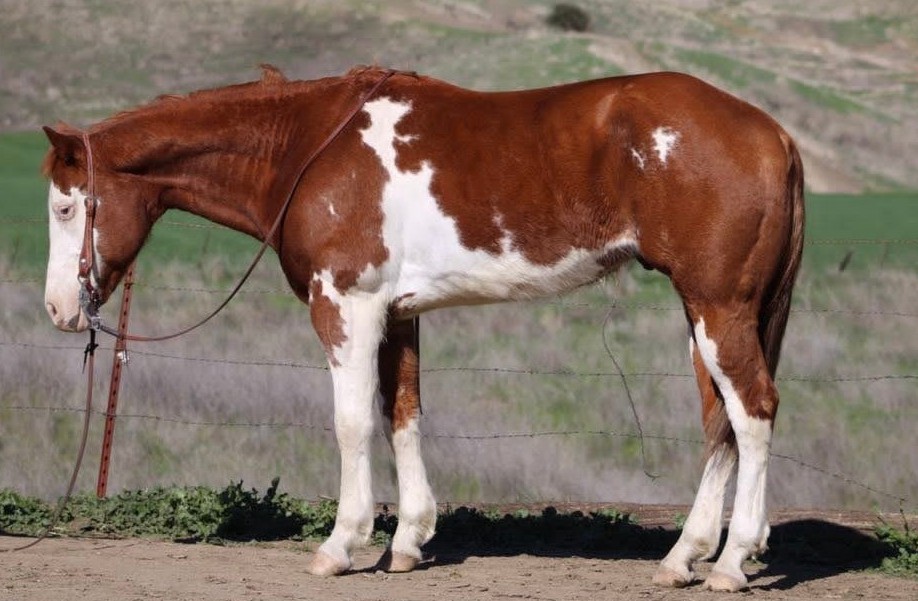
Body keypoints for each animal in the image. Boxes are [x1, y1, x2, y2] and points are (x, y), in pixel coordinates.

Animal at [42, 65, 804, 592]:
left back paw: (732, 561)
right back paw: (684, 558)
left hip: (718, 306)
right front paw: (406, 542)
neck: (308, 148)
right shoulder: (398, 313)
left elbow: (352, 423)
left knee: (754, 412)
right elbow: (401, 414)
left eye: (64, 206)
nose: (58, 310)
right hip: (705, 314)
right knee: (721, 423)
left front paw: (340, 544)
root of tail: (771, 132)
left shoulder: (345, 305)